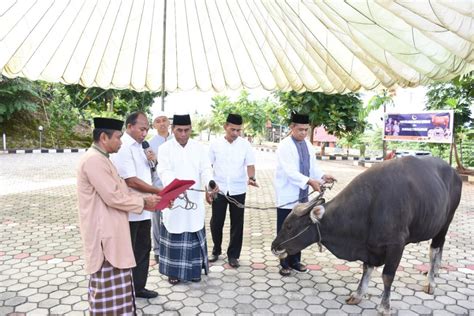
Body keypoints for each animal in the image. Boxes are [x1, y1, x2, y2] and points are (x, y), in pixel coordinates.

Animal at [272, 157, 462, 314]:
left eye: (289, 226)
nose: (274, 247)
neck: (371, 205)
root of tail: (454, 173)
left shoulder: (396, 245)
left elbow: (387, 276)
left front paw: (385, 306)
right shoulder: (369, 247)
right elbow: (366, 269)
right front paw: (358, 295)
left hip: (445, 223)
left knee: (434, 249)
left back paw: (431, 281)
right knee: (439, 248)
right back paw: (435, 272)